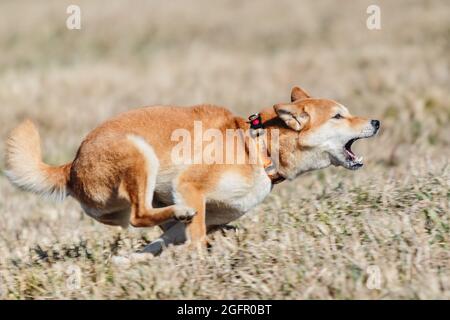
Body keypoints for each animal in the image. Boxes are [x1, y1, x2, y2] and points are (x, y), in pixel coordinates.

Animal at [4, 86, 380, 254]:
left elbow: (168, 239)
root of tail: (72, 166)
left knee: (148, 218)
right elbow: (195, 235)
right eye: (339, 116)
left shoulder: (211, 213)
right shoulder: (190, 185)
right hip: (140, 155)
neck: (258, 147)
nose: (376, 122)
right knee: (140, 214)